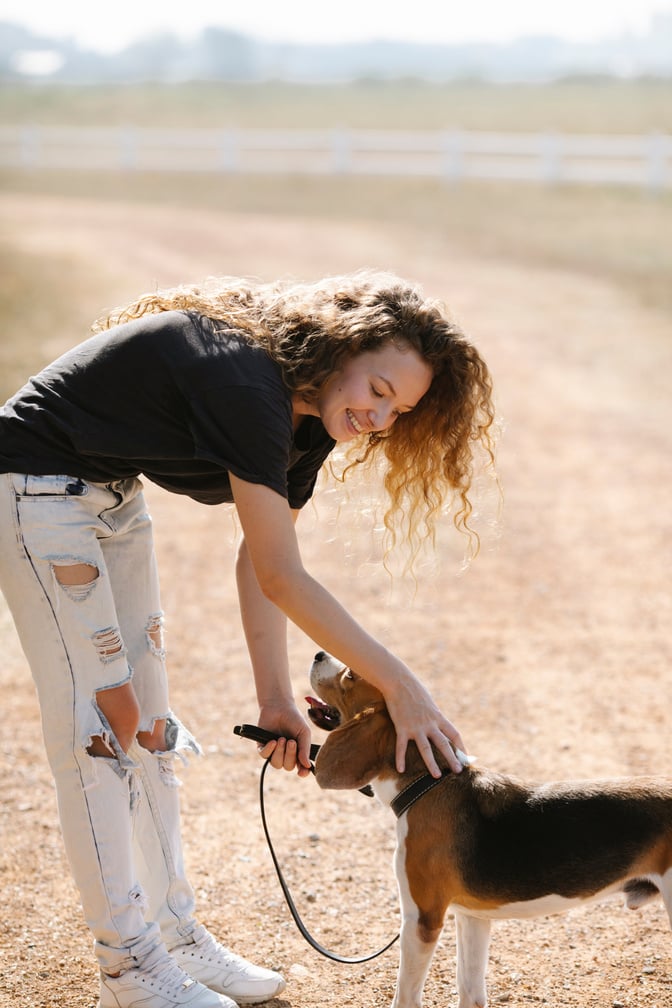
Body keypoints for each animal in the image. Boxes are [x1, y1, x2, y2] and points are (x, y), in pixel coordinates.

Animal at [308, 649, 672, 1003]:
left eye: (350, 675)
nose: (317, 654)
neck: (429, 783)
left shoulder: (422, 919)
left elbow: (405, 995)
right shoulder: (473, 917)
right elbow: (469, 990)